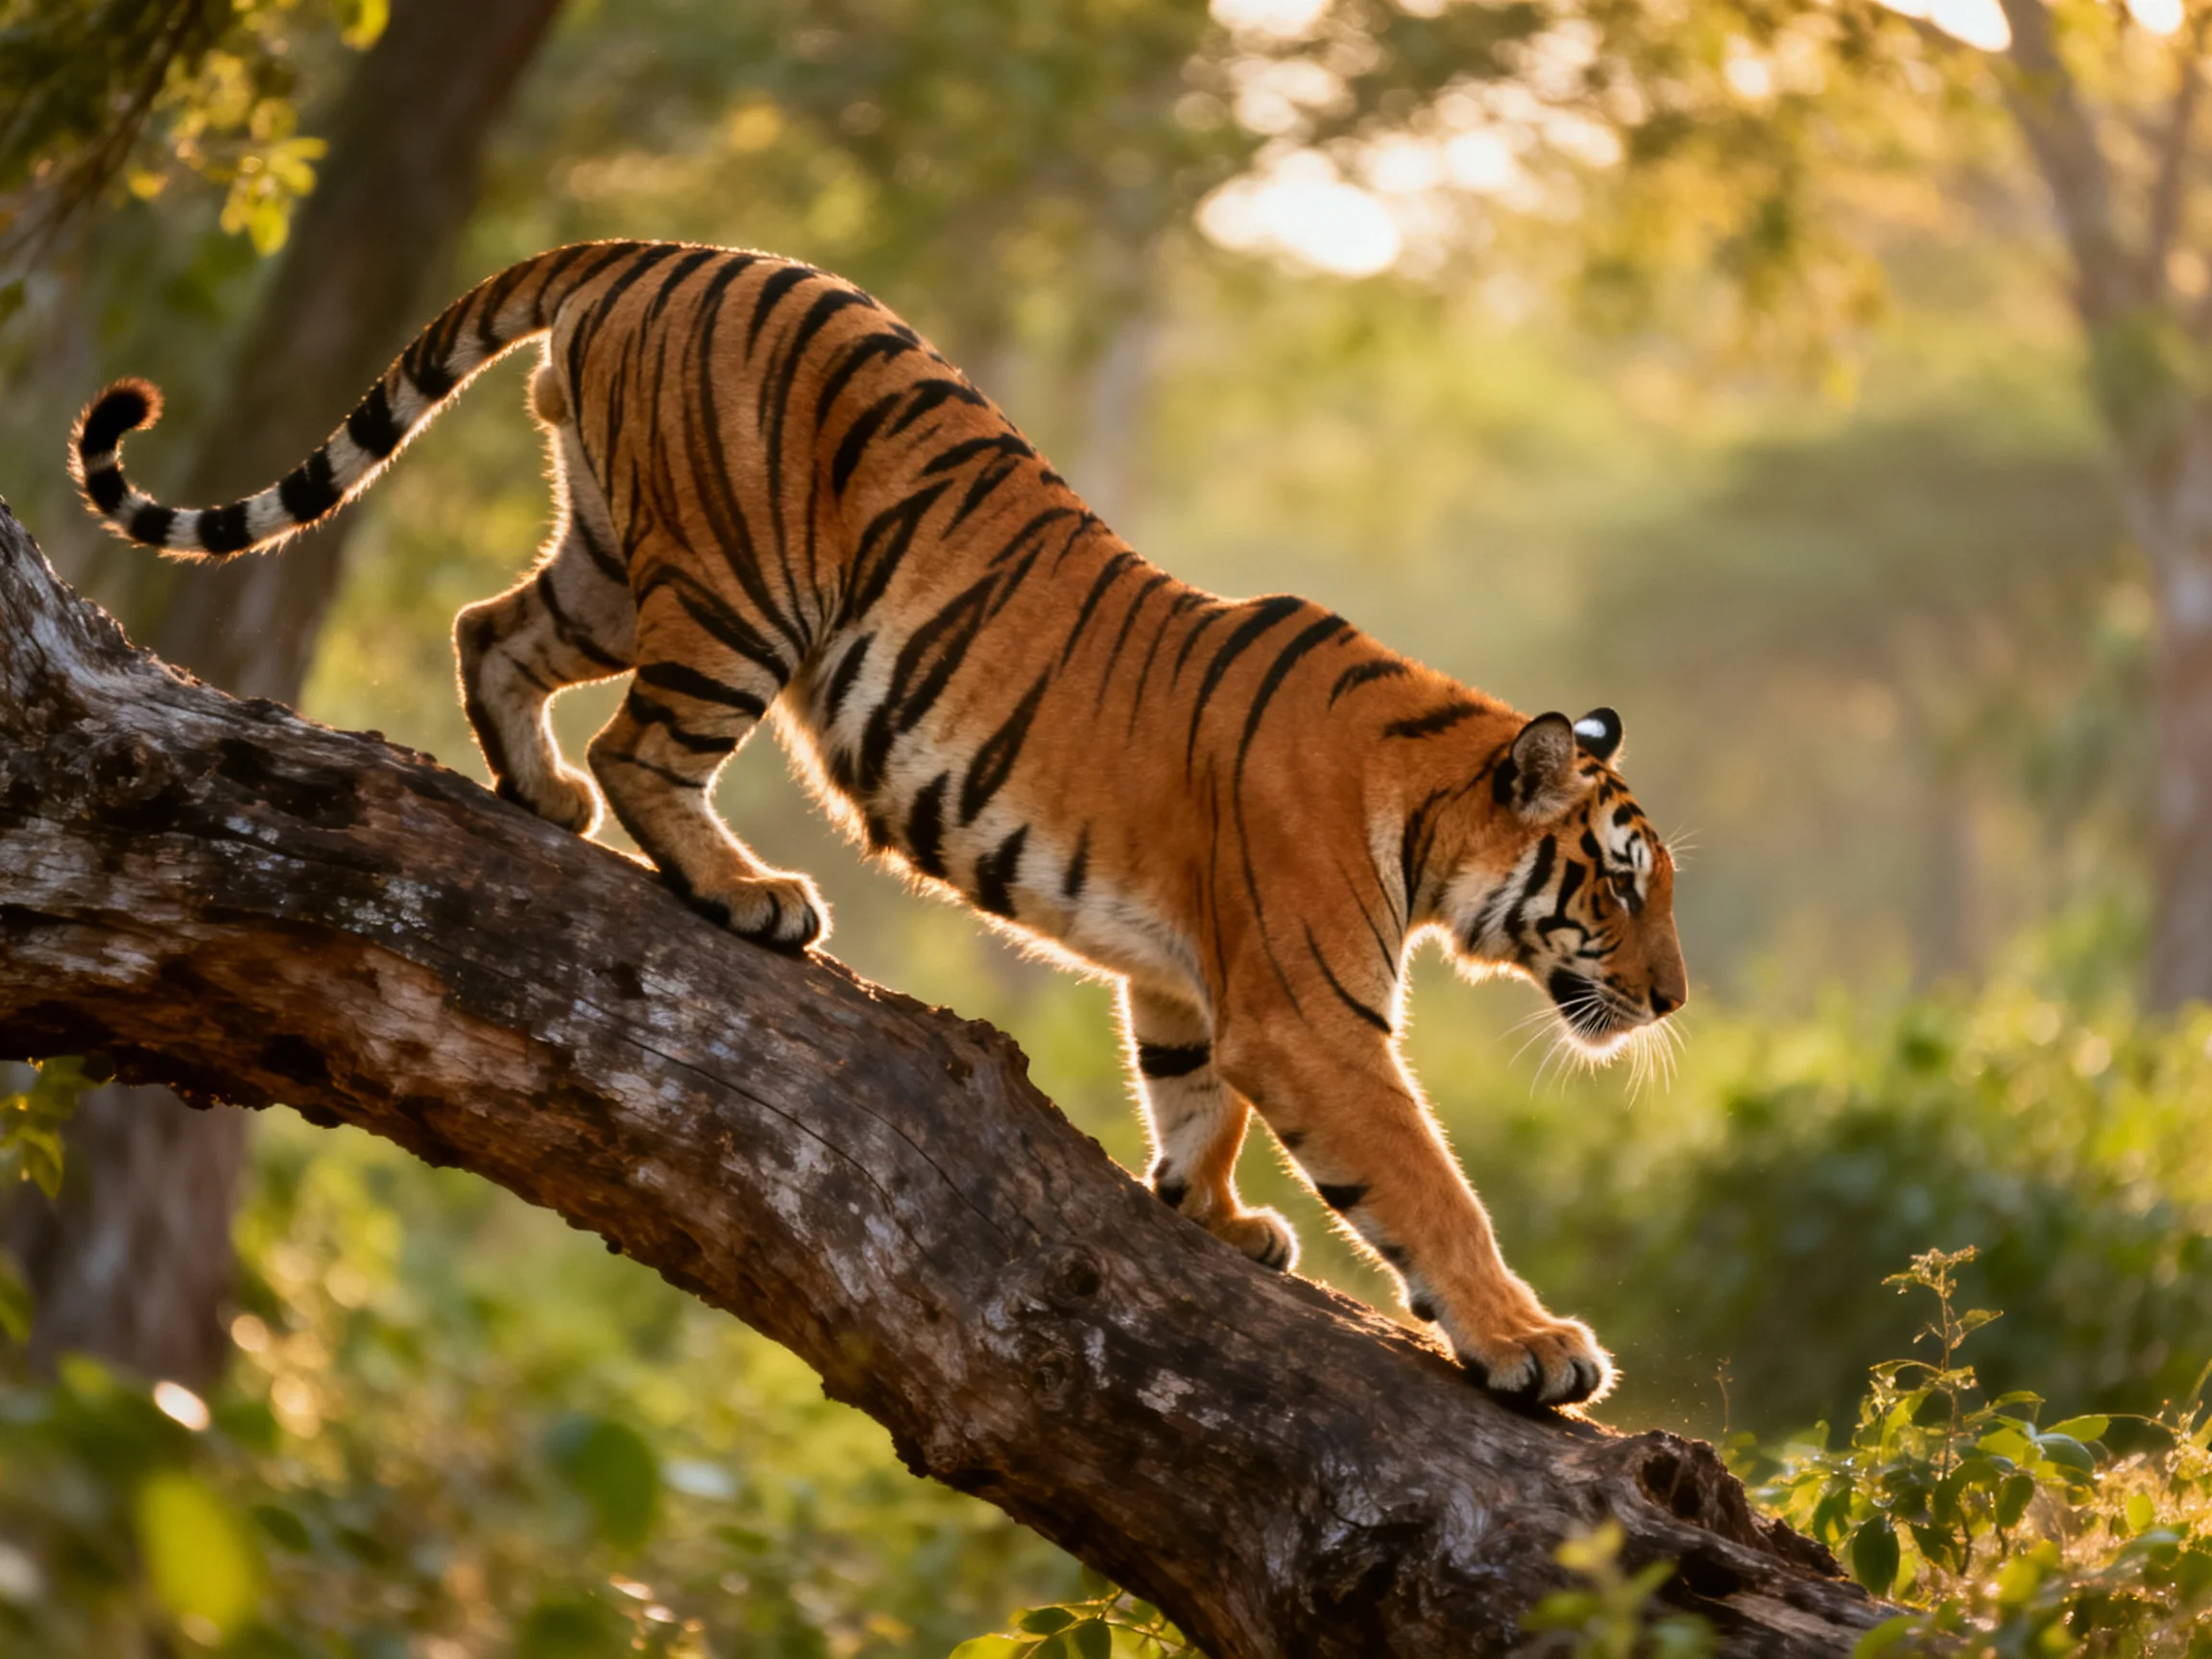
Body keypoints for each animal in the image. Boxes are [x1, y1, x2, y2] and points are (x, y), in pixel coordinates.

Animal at [70, 239, 1686, 1408]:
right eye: (1618, 888)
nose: (1672, 998)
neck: (1429, 812)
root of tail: (654, 249)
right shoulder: (1313, 1018)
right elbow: (1427, 1188)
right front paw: (1532, 1344)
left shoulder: (1194, 982)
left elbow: (1190, 1098)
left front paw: (1211, 1216)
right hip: (740, 598)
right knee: (640, 744)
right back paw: (744, 890)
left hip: (609, 562)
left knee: (489, 631)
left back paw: (541, 797)